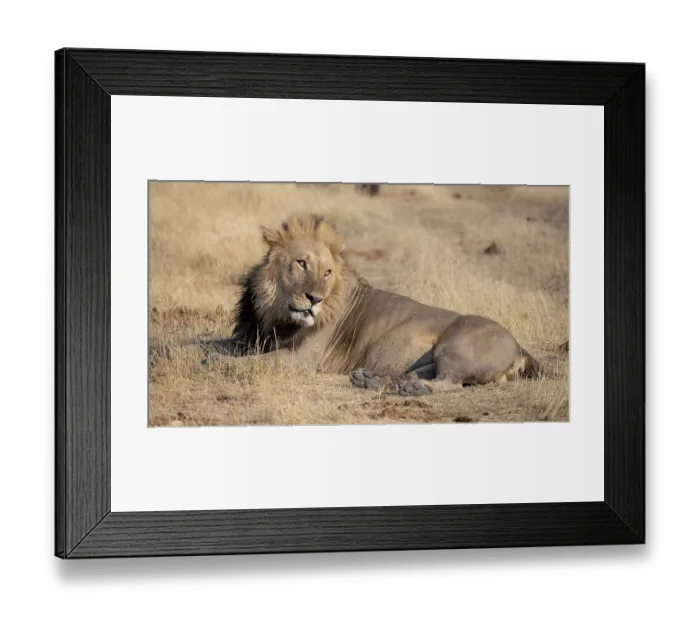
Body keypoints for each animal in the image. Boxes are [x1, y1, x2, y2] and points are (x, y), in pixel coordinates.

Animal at [228, 214, 540, 396]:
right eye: (301, 263)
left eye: (327, 272)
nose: (315, 299)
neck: (275, 312)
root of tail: (520, 347)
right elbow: (224, 347)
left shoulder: (303, 358)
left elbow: (250, 362)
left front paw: (221, 365)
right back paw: (372, 379)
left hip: (455, 346)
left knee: (448, 381)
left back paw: (409, 387)